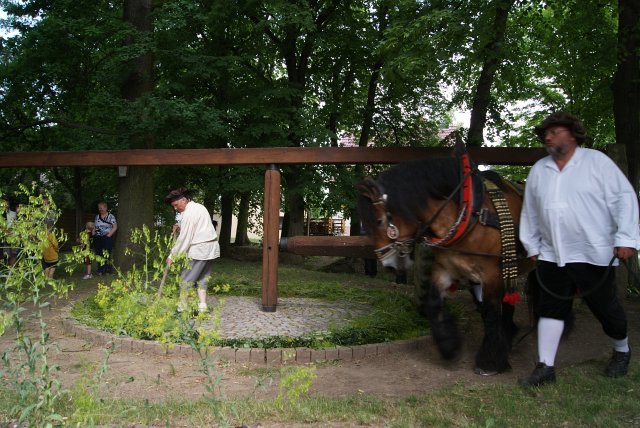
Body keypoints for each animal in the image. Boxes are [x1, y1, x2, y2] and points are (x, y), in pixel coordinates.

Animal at [358, 154, 532, 374]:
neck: (469, 215)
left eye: (379, 221)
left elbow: (492, 312)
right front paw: (449, 345)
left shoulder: (492, 274)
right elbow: (433, 303)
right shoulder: (444, 270)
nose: (388, 265)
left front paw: (489, 361)